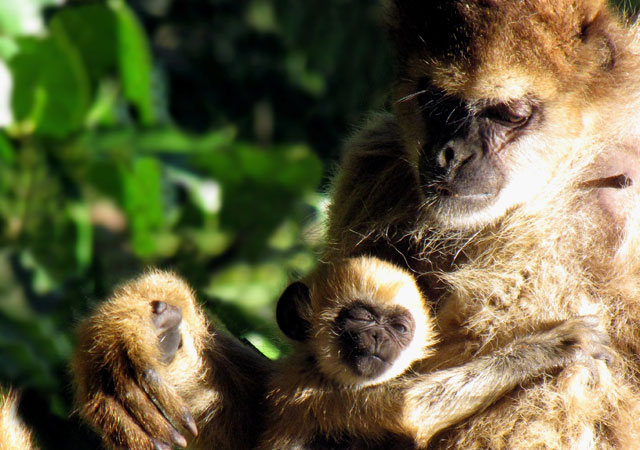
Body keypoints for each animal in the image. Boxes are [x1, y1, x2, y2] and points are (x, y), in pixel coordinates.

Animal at [256, 256, 608, 450]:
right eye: (360, 318)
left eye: (398, 328)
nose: (376, 336)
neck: (314, 366)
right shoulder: (317, 390)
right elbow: (410, 410)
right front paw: (552, 346)